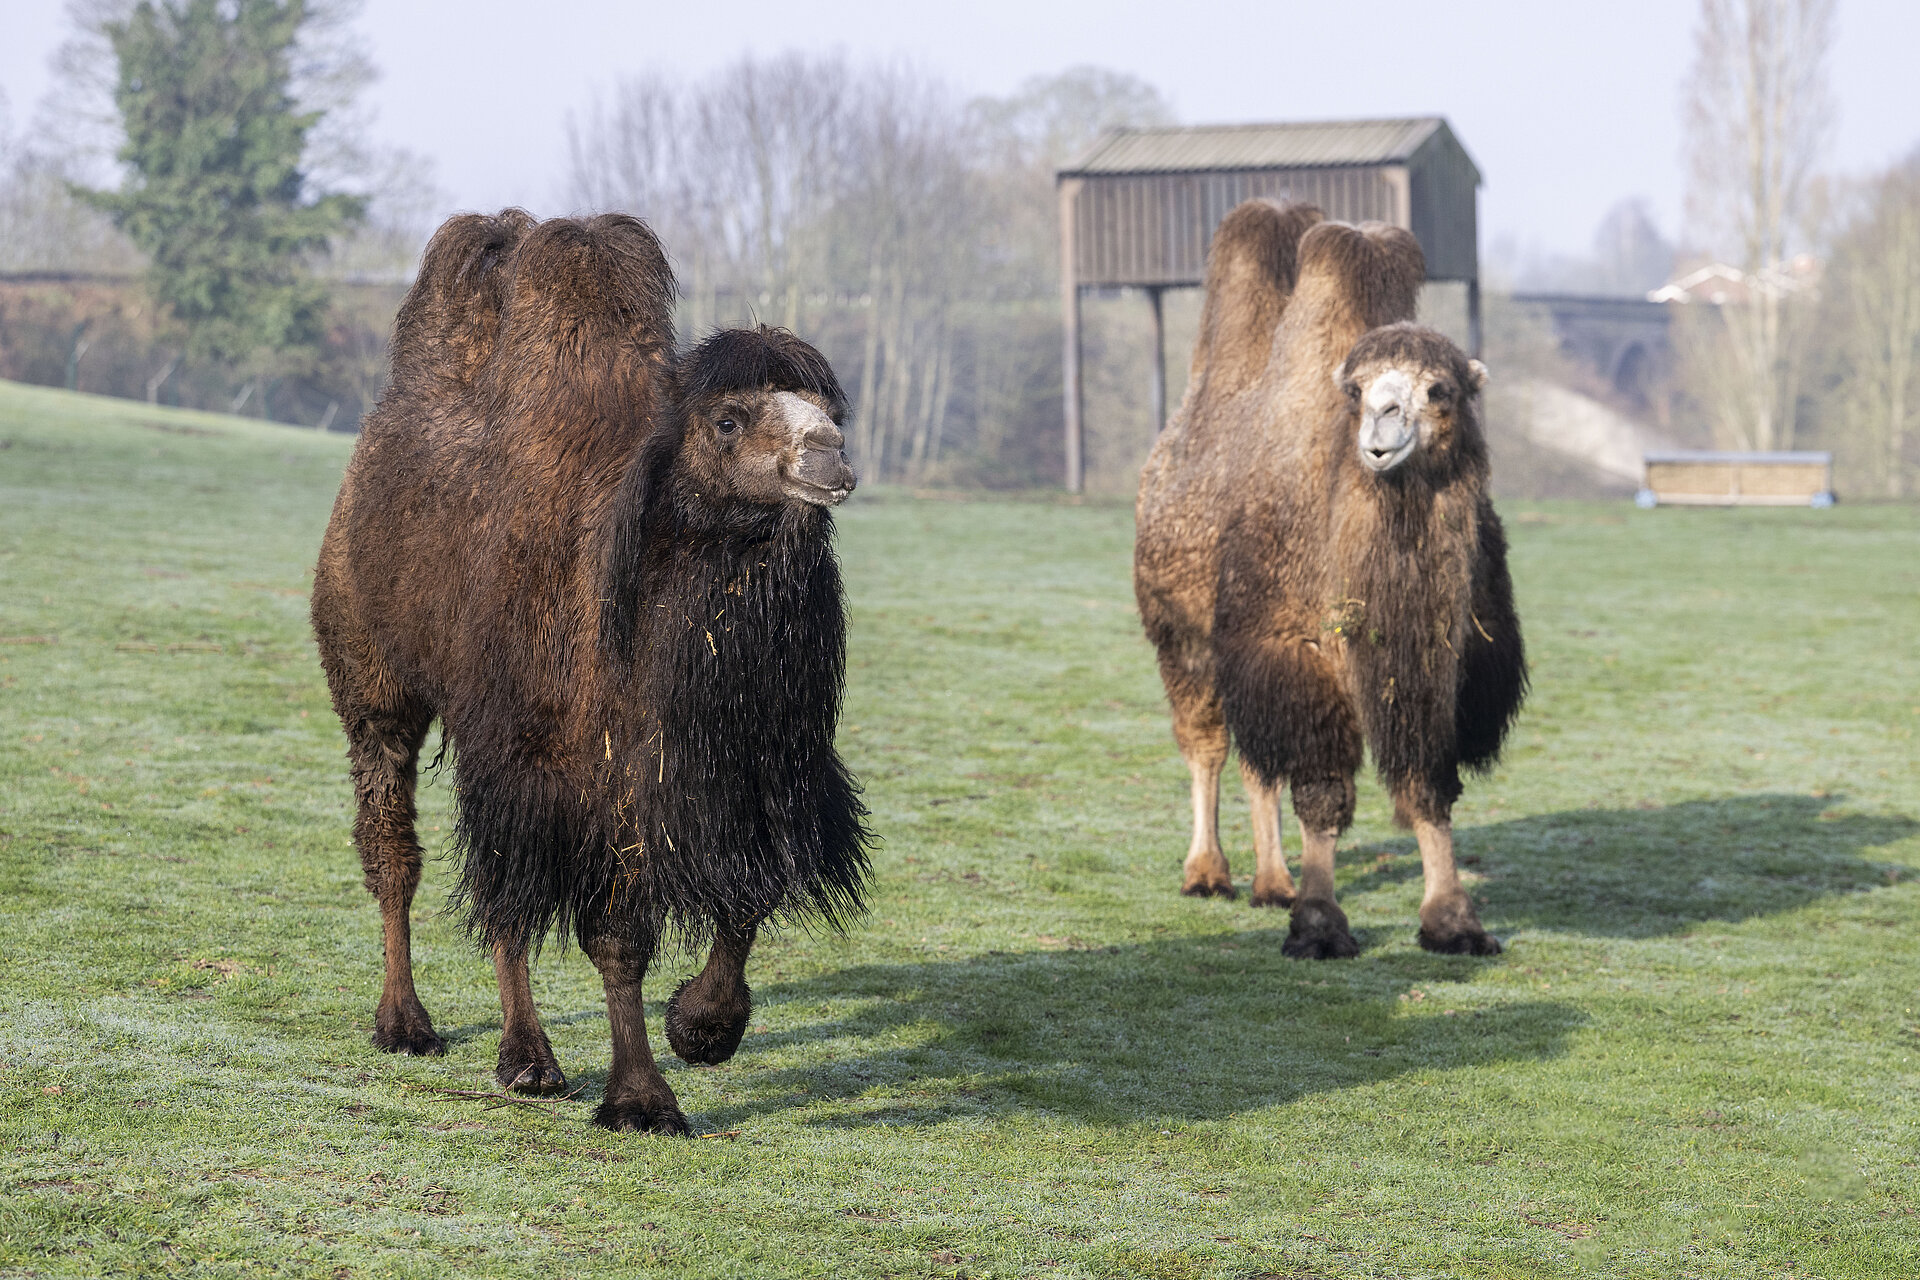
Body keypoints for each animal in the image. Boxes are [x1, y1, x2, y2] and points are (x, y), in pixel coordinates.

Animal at [1134, 199, 1526, 959]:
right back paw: (1208, 873)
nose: (1381, 429)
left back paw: (1271, 881)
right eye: (1358, 391)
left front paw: (1454, 921)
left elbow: (1427, 785)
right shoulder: (1296, 652)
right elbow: (1321, 792)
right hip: (1181, 634)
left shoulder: (1446, 663)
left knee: (1257, 762)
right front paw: (1318, 924)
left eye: (1440, 390)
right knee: (1207, 744)